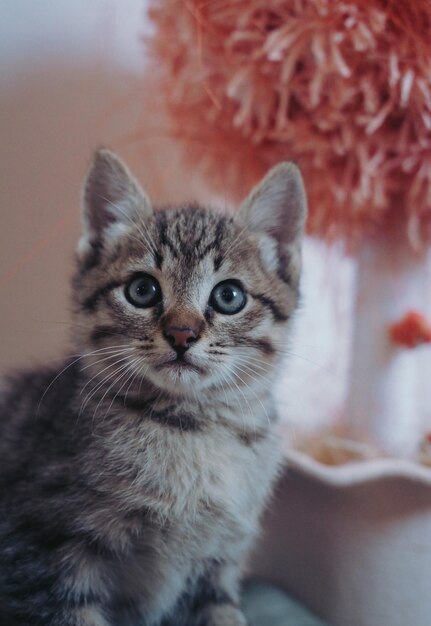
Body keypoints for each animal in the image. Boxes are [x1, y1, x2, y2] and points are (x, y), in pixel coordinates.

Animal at [0, 150, 308, 624]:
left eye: (229, 296)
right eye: (142, 290)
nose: (182, 333)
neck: (195, 428)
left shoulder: (217, 564)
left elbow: (224, 613)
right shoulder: (41, 558)